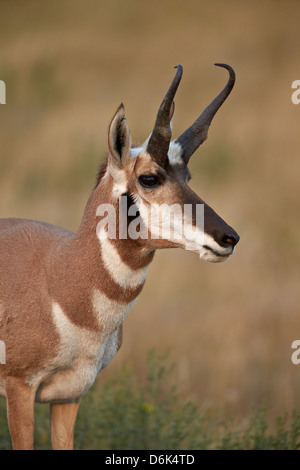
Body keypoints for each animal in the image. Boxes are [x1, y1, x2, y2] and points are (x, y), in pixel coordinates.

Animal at [0, 62, 239, 448]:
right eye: (149, 178)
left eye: (187, 176)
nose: (228, 237)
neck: (57, 277)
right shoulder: (20, 389)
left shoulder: (70, 396)